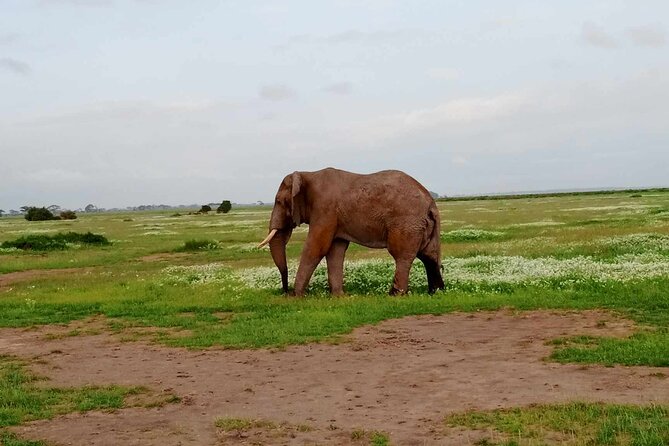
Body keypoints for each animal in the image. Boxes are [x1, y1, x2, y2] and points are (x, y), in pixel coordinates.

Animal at [257, 168, 445, 296]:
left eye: (279, 201)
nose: (284, 291)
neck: (307, 174)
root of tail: (431, 202)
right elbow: (335, 251)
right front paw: (338, 296)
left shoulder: (325, 209)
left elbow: (316, 247)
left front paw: (297, 296)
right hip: (422, 225)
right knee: (429, 255)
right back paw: (435, 292)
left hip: (406, 222)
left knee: (402, 255)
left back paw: (395, 295)